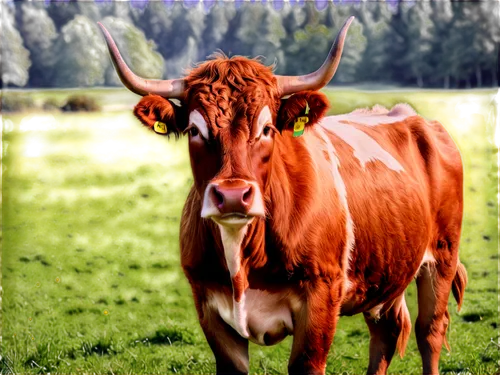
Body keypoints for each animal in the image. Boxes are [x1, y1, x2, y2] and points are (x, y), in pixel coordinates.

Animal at [98, 15, 468, 375]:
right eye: (193, 130)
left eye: (267, 129)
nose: (233, 195)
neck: (243, 258)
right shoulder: (209, 307)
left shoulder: (321, 298)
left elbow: (307, 363)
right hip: (387, 270)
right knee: (386, 334)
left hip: (442, 256)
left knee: (429, 331)